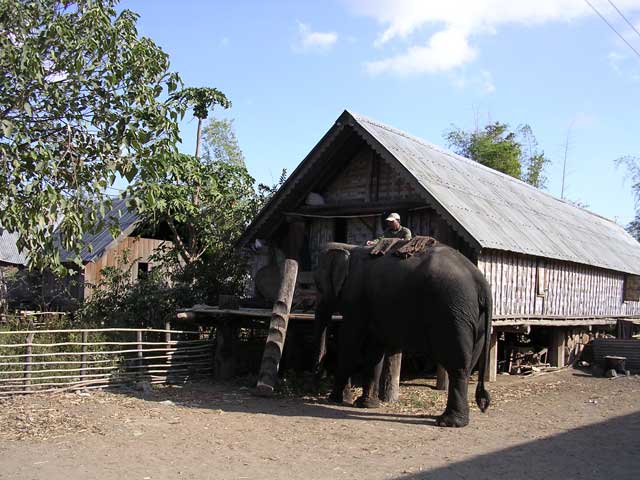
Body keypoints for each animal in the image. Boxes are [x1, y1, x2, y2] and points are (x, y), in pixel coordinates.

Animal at [312, 238, 492, 430]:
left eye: (318, 285)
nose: (319, 373)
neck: (350, 248)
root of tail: (481, 282)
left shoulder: (356, 299)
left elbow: (350, 342)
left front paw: (335, 399)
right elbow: (374, 350)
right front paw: (366, 404)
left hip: (454, 312)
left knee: (457, 365)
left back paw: (447, 422)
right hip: (474, 319)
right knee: (468, 364)